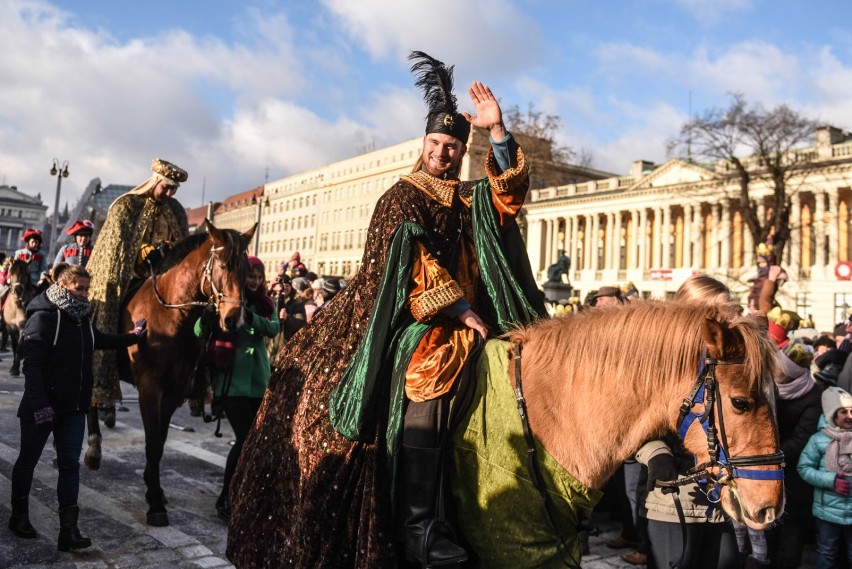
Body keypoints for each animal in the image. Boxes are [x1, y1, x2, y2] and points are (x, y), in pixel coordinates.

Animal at [85, 221, 256, 524]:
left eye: (246, 271)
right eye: (223, 265)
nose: (233, 319)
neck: (172, 317)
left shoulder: (176, 389)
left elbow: (162, 440)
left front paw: (154, 487)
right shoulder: (149, 387)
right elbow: (153, 441)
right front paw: (155, 502)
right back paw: (93, 448)